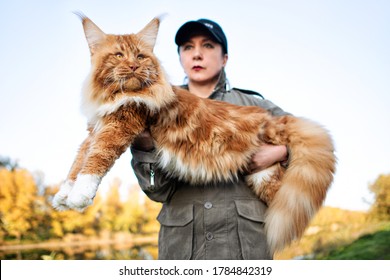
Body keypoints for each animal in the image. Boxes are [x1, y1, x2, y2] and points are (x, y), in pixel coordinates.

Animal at [53, 14, 336, 252]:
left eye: (141, 57)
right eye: (119, 55)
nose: (133, 66)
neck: (116, 95)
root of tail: (273, 118)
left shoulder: (121, 123)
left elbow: (96, 158)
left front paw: (79, 195)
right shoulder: (96, 127)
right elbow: (78, 159)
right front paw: (64, 194)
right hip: (264, 178)